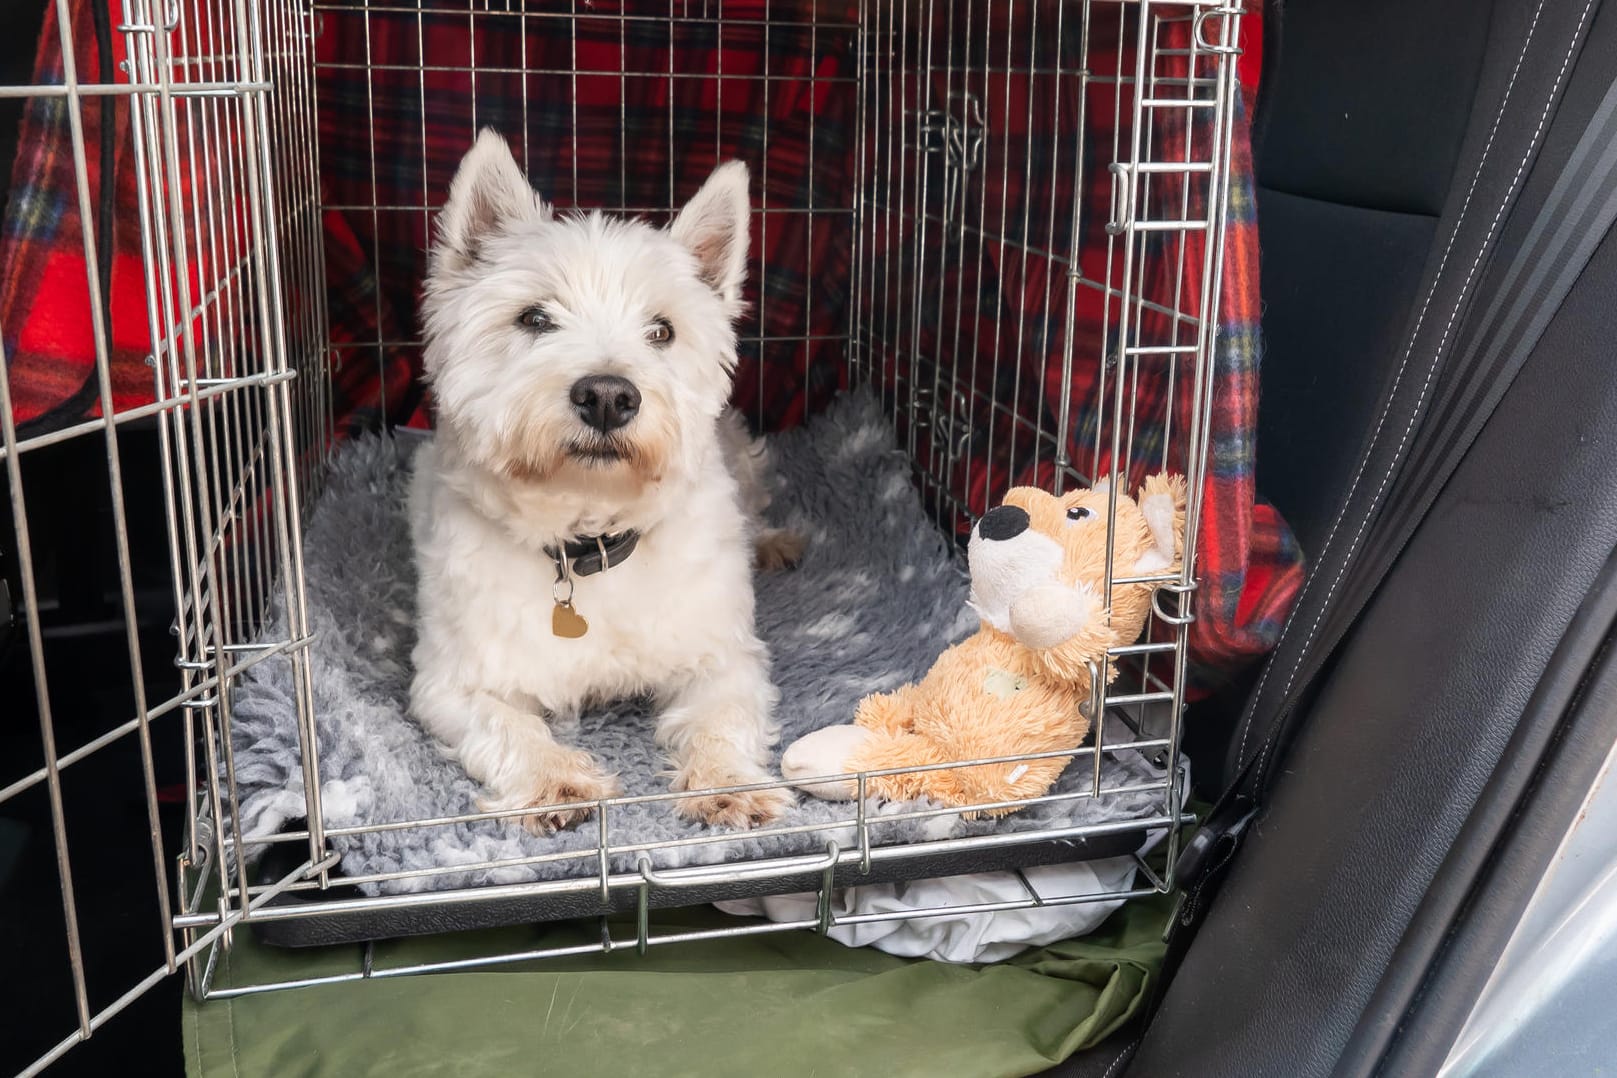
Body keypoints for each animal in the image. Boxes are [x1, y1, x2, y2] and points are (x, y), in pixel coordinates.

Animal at [410, 128, 802, 833]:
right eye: (534, 319)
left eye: (662, 330)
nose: (608, 396)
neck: (587, 534)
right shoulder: (452, 678)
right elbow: (508, 726)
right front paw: (553, 782)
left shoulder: (723, 656)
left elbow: (719, 719)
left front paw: (729, 785)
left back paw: (777, 543)